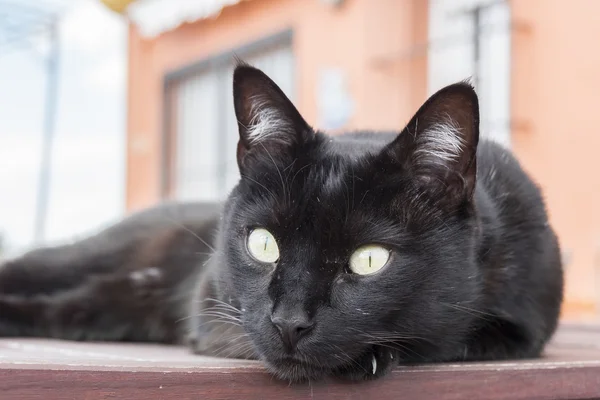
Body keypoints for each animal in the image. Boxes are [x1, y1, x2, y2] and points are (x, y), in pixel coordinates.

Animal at [0, 64, 564, 382]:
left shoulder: (524, 324)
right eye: (264, 245)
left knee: (75, 307)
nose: (288, 321)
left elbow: (452, 336)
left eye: (369, 260)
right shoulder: (212, 307)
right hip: (77, 259)